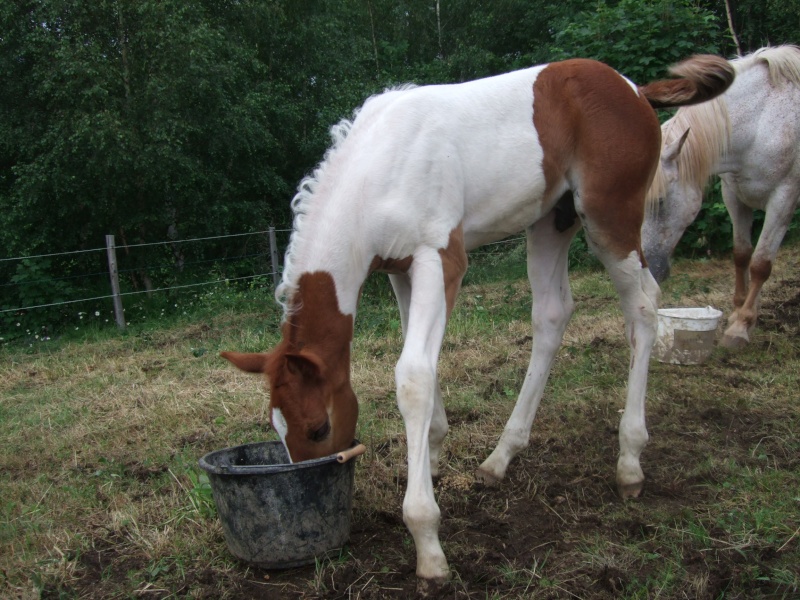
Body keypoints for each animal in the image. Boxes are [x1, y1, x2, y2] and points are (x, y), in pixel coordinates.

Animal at [222, 56, 736, 584]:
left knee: (645, 307)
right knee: (552, 315)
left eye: (319, 428)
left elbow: (412, 375)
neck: (380, 171)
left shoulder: (440, 259)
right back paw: (501, 457)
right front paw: (433, 454)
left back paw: (630, 460)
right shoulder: (400, 271)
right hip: (552, 220)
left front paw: (426, 539)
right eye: (278, 429)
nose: (316, 488)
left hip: (608, 216)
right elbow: (419, 361)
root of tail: (634, 89)